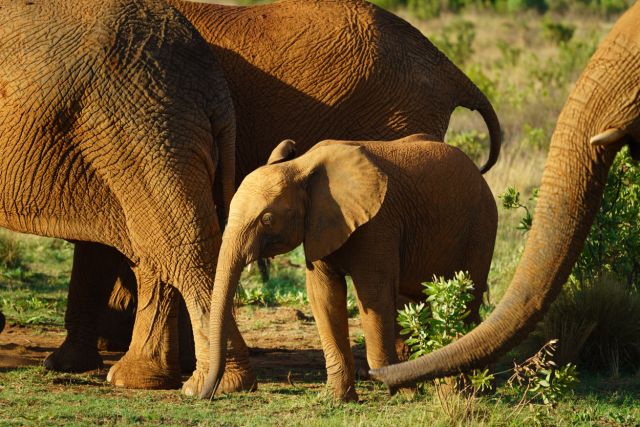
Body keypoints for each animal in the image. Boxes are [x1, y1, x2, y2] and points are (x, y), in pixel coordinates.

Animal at [0, 0, 238, 398]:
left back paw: (214, 385)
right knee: (150, 249)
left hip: (148, 127)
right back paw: (139, 378)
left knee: (182, 246)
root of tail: (213, 85)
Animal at [202, 134, 498, 402]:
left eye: (267, 219)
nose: (206, 394)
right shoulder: (320, 226)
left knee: (468, 303)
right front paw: (336, 399)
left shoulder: (377, 224)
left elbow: (373, 296)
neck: (301, 166)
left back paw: (472, 390)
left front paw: (404, 393)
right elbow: (324, 296)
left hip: (481, 225)